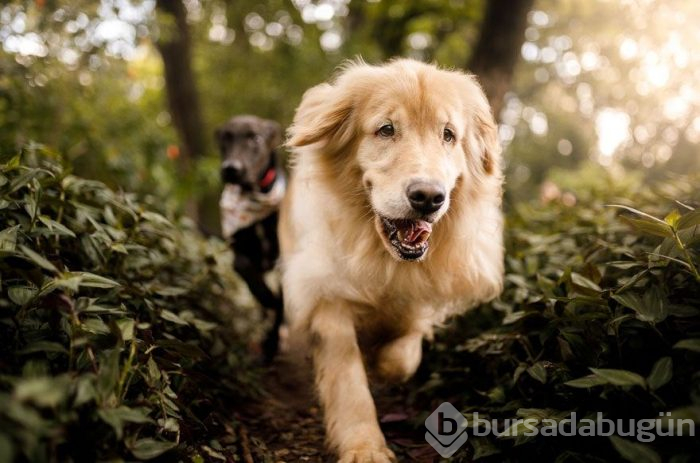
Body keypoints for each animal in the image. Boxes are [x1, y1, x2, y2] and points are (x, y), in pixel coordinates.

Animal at [217, 114, 286, 360]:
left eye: (255, 138)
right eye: (225, 138)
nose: (231, 169)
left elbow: (281, 304)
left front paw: (271, 344)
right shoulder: (239, 250)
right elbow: (243, 267)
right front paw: (266, 297)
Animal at [278, 59, 504, 462]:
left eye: (448, 135)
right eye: (386, 129)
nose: (428, 197)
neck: (384, 255)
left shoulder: (421, 293)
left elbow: (404, 354)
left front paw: (384, 365)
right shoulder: (328, 297)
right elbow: (349, 381)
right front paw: (364, 446)